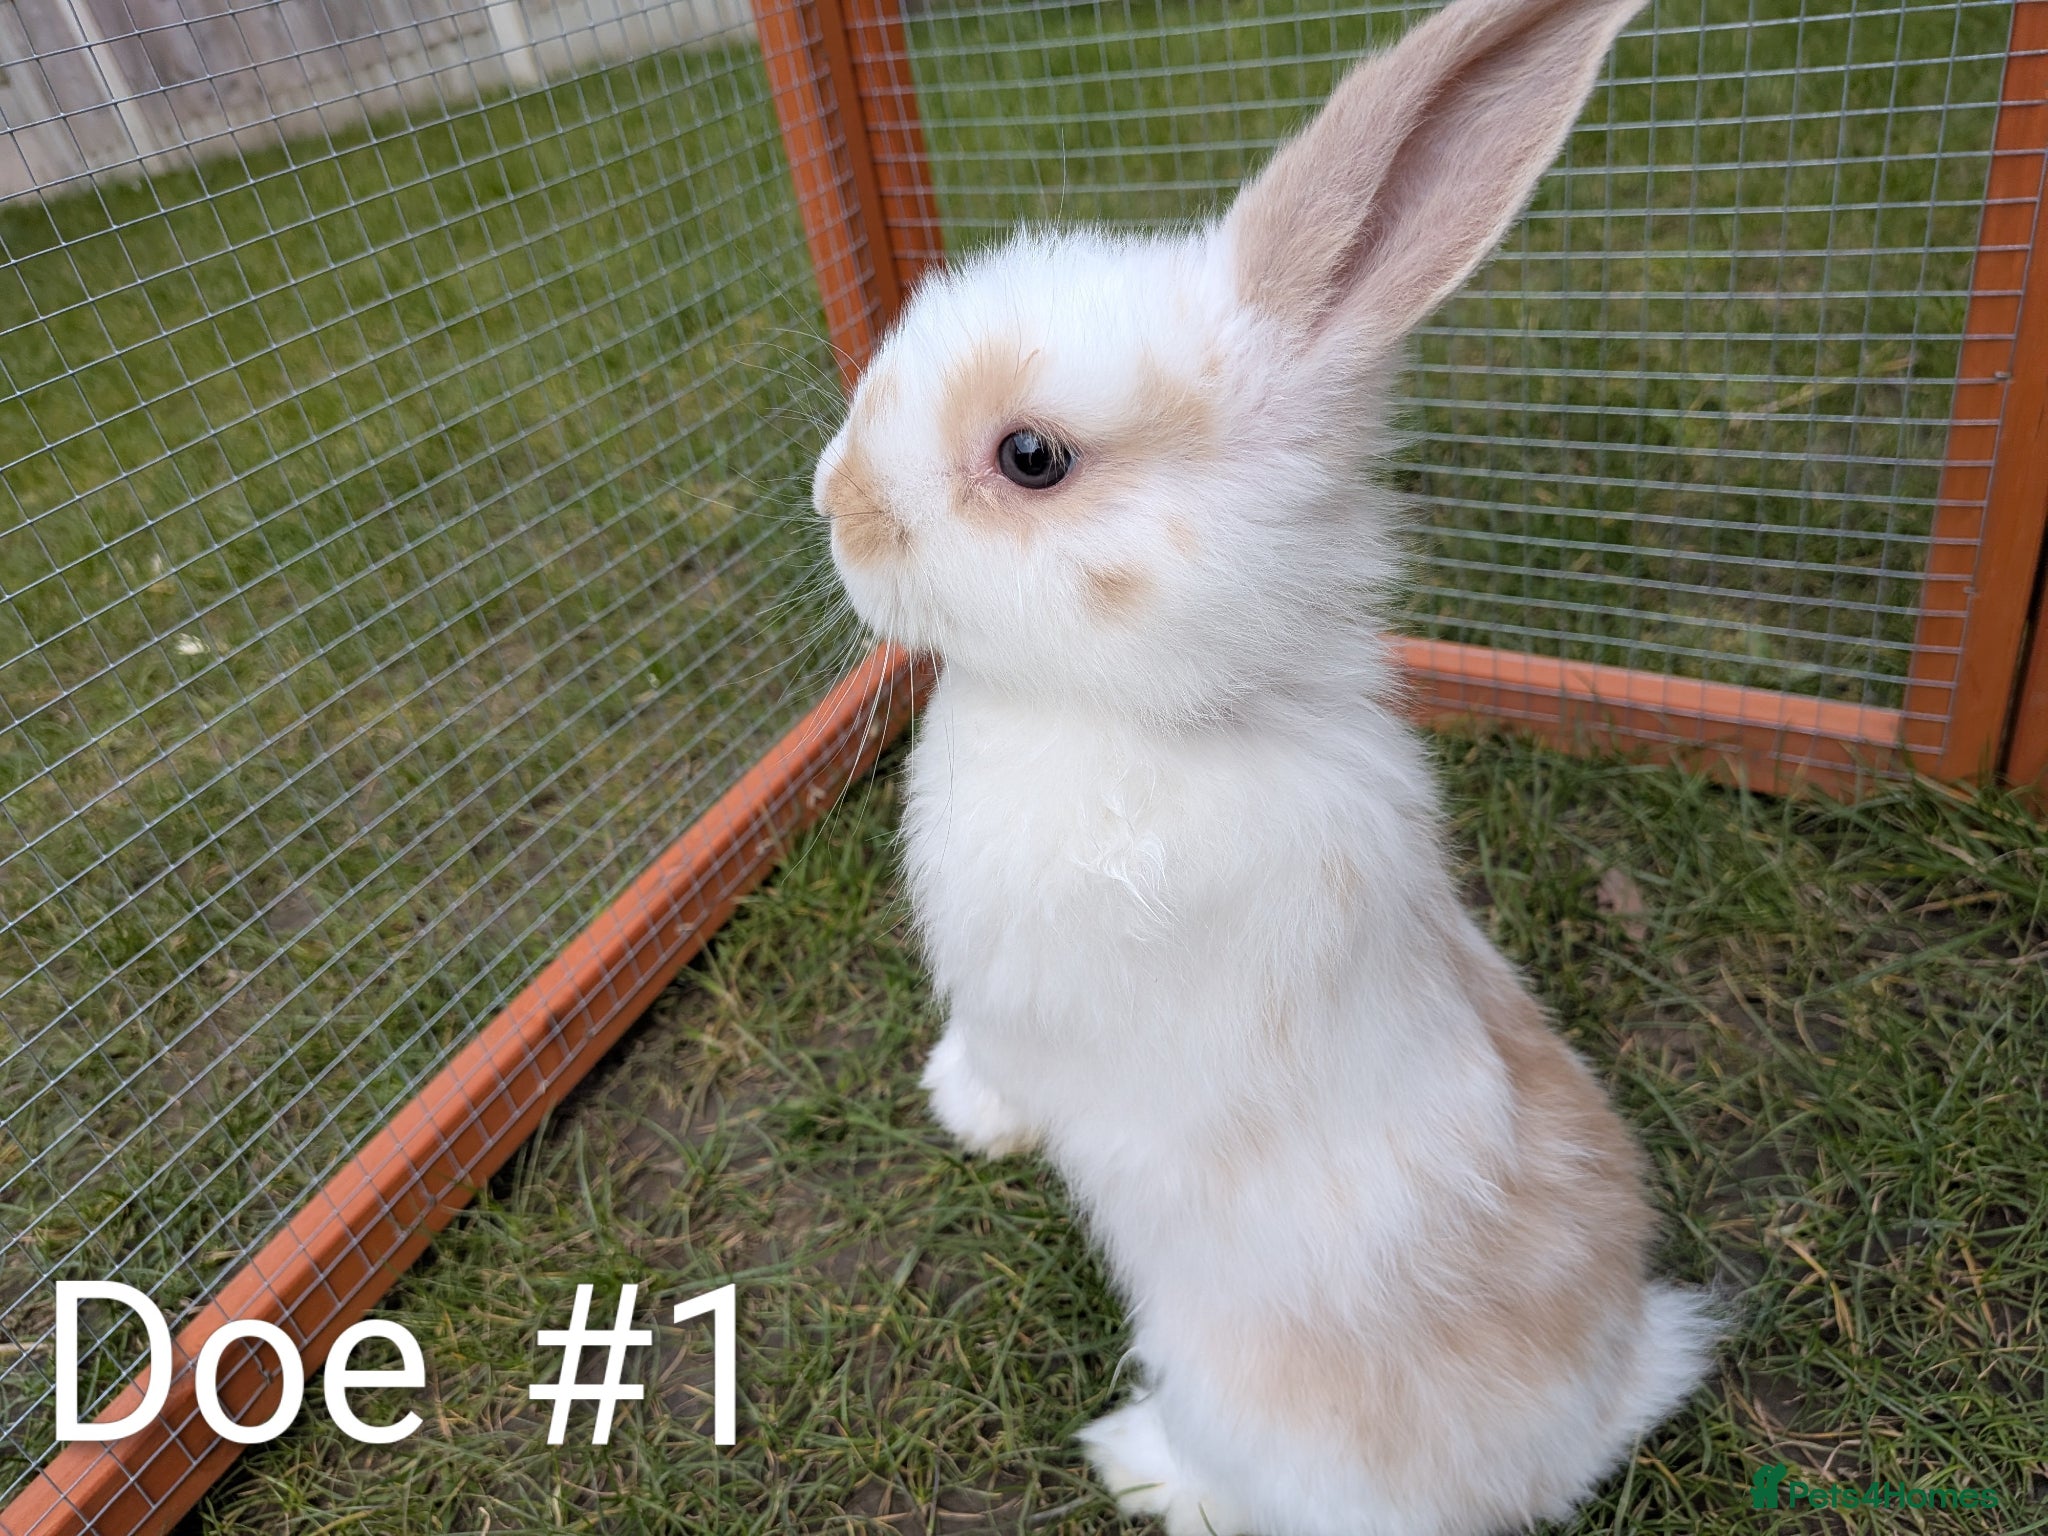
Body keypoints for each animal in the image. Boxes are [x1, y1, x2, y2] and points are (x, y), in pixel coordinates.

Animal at [810, 0, 1720, 1530]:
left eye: (1030, 455)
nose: (836, 504)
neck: (1148, 717)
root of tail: (1592, 1416)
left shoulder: (1021, 997)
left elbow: (1002, 1062)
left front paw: (961, 1109)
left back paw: (1139, 1464)